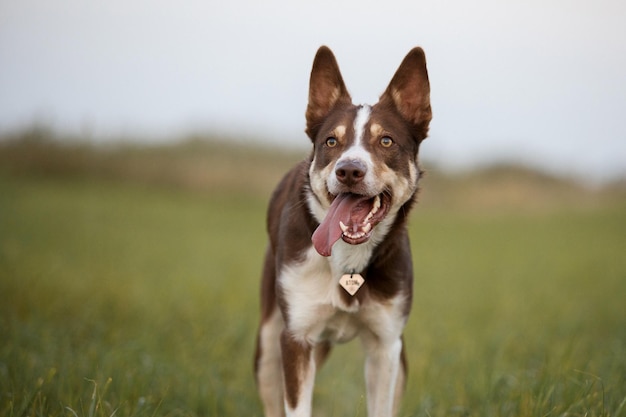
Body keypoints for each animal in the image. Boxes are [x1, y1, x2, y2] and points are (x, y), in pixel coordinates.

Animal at [254, 45, 428, 416]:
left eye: (386, 141)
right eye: (332, 141)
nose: (349, 170)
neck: (348, 260)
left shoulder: (386, 346)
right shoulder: (296, 339)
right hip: (267, 347)